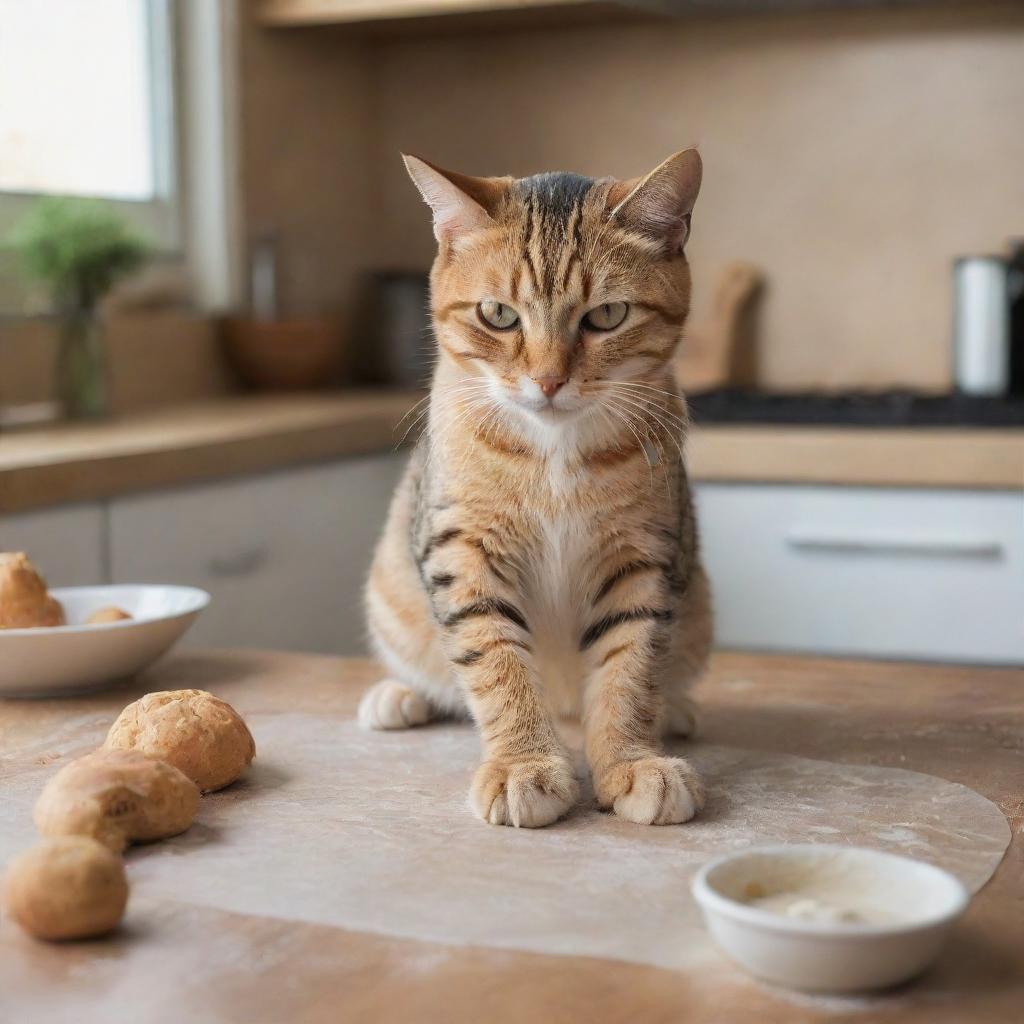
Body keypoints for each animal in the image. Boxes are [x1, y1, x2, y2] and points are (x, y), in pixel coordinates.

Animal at [360, 148, 712, 827]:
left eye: (607, 315)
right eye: (498, 314)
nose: (548, 381)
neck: (554, 453)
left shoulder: (644, 555)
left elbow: (631, 666)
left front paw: (631, 761)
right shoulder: (462, 550)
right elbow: (495, 659)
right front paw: (524, 764)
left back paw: (674, 712)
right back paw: (398, 696)